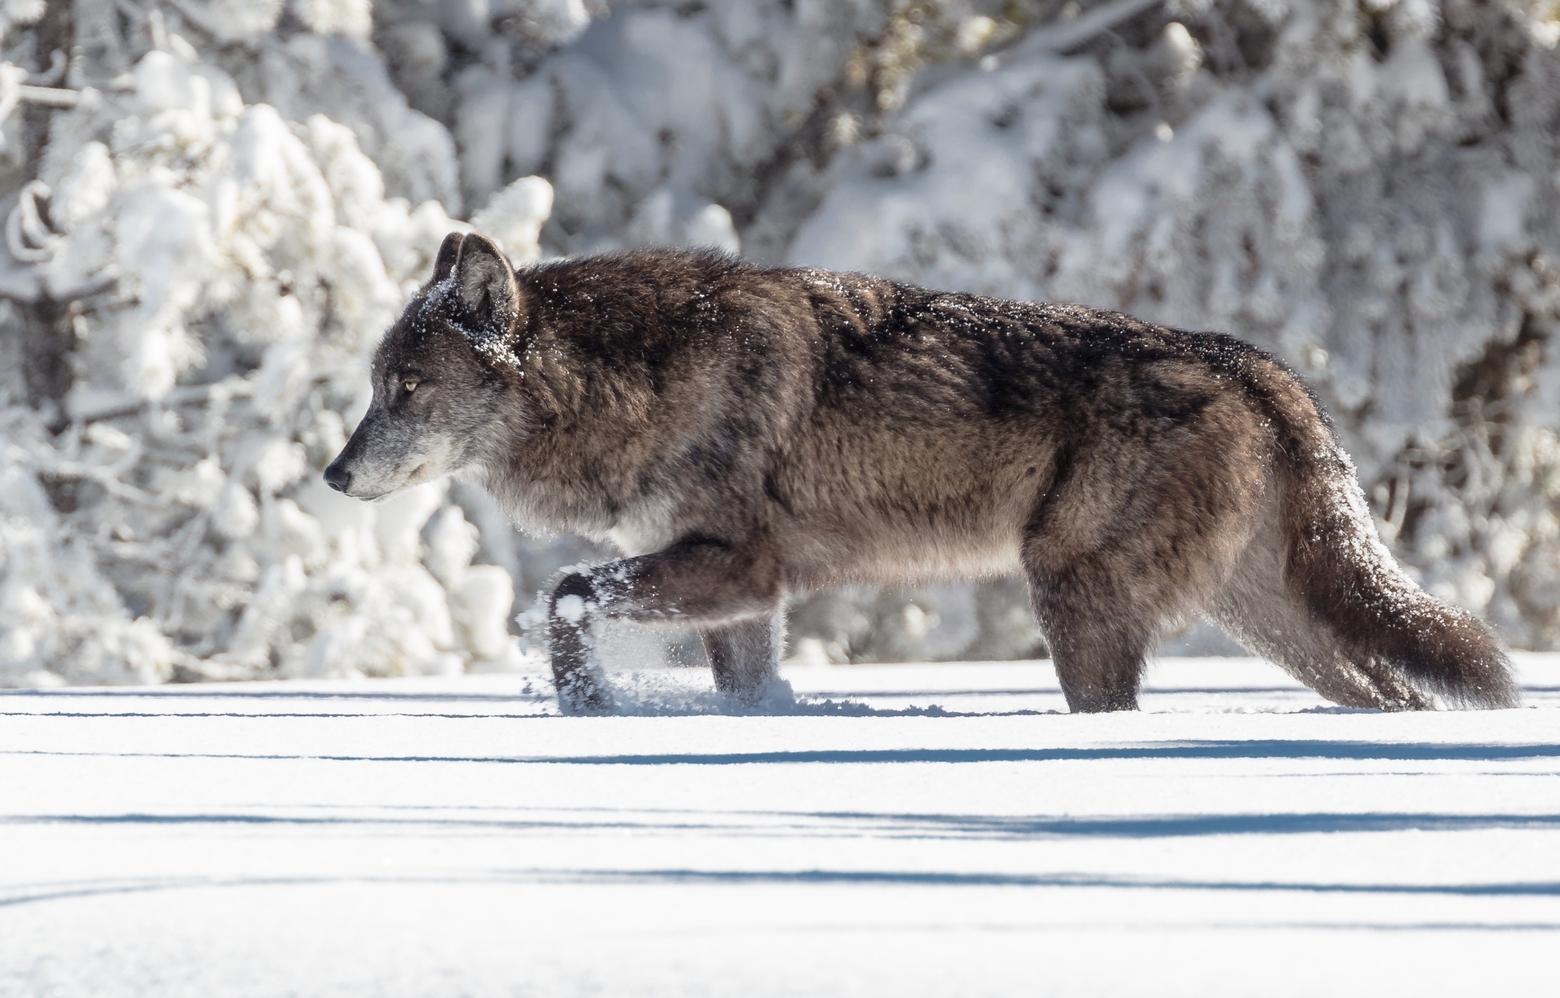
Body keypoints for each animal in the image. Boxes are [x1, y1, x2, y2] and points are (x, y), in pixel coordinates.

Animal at [322, 232, 1516, 717]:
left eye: (407, 389)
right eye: (375, 385)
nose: (332, 474)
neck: (633, 380)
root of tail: (1252, 362)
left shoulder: (736, 564)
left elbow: (564, 595)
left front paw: (587, 707)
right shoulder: (745, 596)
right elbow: (736, 682)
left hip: (1074, 595)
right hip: (1267, 620)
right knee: (1393, 690)